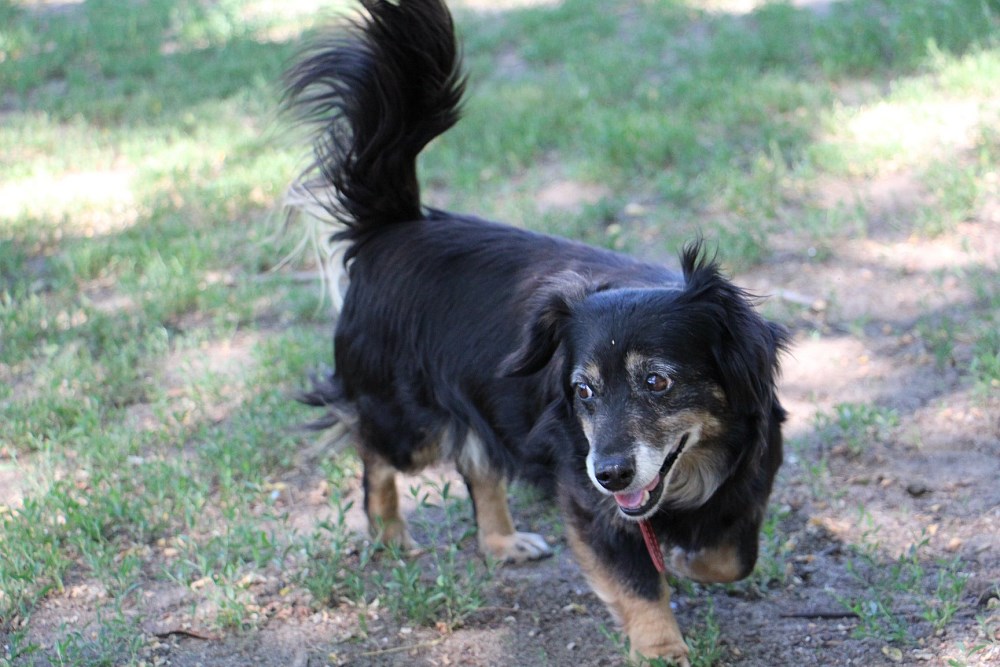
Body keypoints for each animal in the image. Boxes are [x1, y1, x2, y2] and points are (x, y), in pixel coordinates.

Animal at [285, 0, 787, 662]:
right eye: (582, 391)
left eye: (658, 382)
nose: (611, 473)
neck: (697, 467)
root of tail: (393, 228)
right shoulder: (591, 504)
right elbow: (639, 583)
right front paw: (661, 648)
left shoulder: (749, 480)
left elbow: (731, 558)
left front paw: (688, 562)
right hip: (408, 423)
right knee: (371, 447)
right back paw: (389, 531)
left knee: (479, 465)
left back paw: (502, 542)